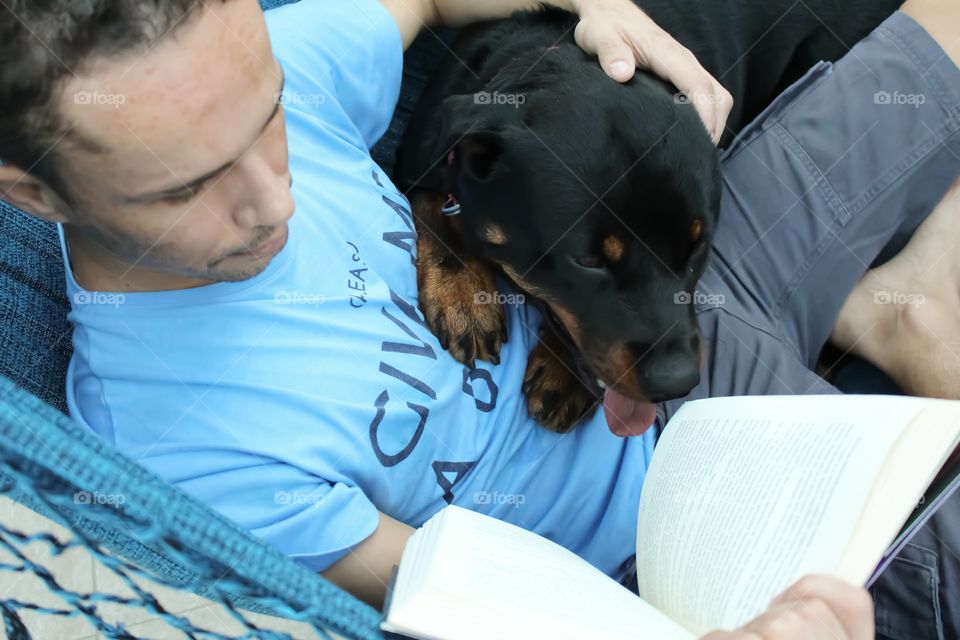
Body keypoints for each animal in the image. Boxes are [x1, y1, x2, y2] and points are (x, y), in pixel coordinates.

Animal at [394, 0, 904, 436]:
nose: (678, 381)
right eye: (587, 261)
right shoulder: (422, 148)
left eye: (698, 249)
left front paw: (564, 374)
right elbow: (427, 202)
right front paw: (463, 292)